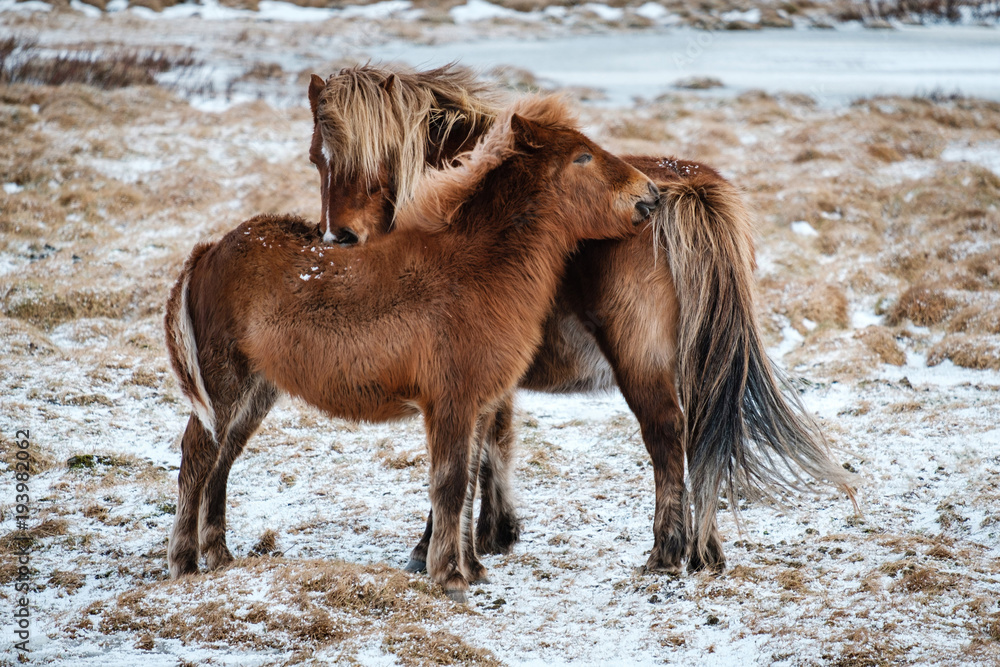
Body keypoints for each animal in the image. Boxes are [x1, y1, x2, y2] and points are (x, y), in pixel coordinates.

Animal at [163, 94, 661, 602]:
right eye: (582, 157)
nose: (651, 195)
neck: (477, 269)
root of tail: (209, 250)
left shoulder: (480, 406)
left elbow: (468, 484)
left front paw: (472, 567)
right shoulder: (450, 402)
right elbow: (449, 484)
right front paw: (450, 576)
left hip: (258, 388)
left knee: (223, 458)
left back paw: (219, 556)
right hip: (224, 381)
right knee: (197, 456)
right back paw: (184, 562)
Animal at [304, 64, 857, 576]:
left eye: (379, 153)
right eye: (316, 158)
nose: (340, 238)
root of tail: (683, 189)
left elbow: (465, 454)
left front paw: (434, 548)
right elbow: (495, 444)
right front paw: (494, 534)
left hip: (641, 363)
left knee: (667, 438)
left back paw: (666, 552)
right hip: (703, 360)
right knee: (705, 438)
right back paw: (706, 553)